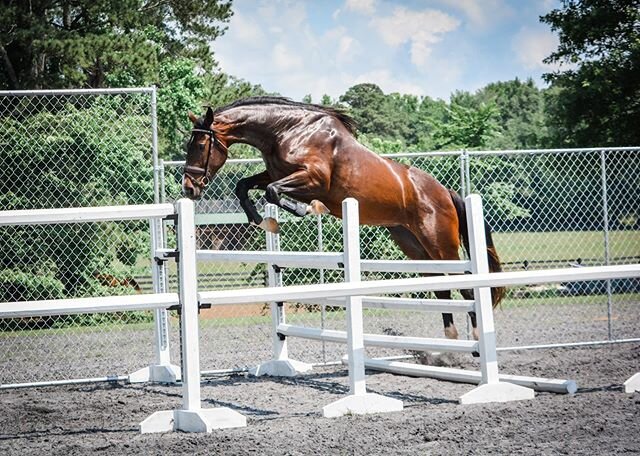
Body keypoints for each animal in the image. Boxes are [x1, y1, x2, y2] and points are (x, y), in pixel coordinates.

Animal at [184, 97, 504, 346]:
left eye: (199, 145)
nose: (189, 189)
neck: (288, 131)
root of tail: (445, 191)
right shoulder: (275, 174)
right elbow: (245, 186)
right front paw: (262, 221)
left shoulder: (313, 179)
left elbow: (273, 192)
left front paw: (309, 209)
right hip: (413, 243)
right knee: (441, 286)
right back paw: (450, 343)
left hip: (439, 242)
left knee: (465, 285)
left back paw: (476, 338)